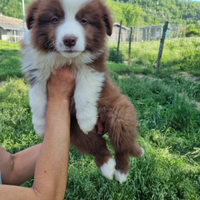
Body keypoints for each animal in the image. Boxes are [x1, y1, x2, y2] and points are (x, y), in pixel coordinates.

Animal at [21, 0, 144, 183]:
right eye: (55, 19)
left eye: (84, 21)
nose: (69, 40)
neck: (64, 59)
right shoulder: (36, 73)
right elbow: (37, 100)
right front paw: (40, 126)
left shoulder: (92, 67)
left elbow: (83, 91)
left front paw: (86, 120)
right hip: (73, 131)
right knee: (98, 146)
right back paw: (107, 167)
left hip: (120, 116)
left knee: (122, 146)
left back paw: (121, 173)